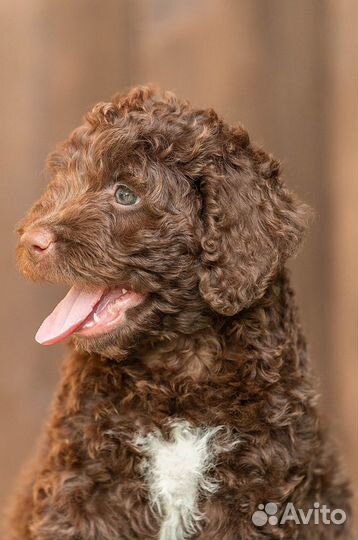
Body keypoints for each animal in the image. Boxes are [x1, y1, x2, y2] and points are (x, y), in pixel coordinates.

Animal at [7, 85, 350, 540]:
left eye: (125, 194)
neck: (174, 379)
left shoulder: (260, 491)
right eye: (63, 181)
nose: (31, 240)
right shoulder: (82, 488)